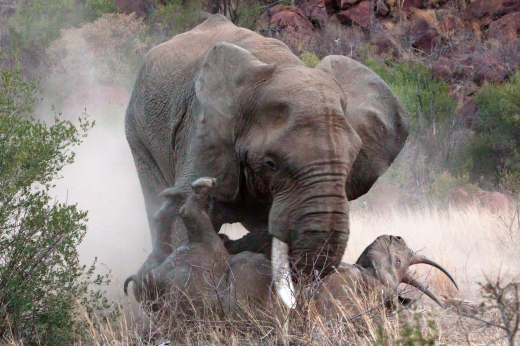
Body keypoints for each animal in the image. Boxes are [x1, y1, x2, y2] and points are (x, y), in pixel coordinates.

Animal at [124, 178, 458, 316]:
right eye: (400, 262)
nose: (396, 237)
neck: (369, 283)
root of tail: (149, 281)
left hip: (192, 277)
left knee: (191, 228)